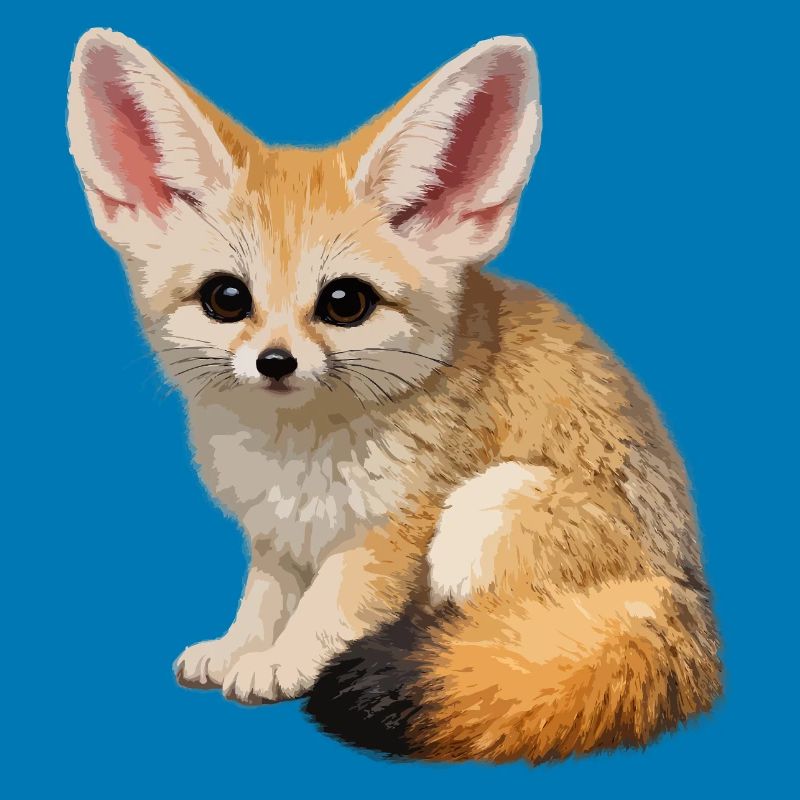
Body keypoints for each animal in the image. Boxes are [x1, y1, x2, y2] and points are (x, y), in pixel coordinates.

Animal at [67, 28, 721, 763]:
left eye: (344, 302)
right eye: (226, 298)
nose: (275, 362)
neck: (294, 454)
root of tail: (687, 594)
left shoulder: (390, 532)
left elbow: (328, 608)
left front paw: (283, 661)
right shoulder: (275, 537)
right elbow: (264, 599)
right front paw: (240, 646)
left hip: (489, 507)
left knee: (493, 633)